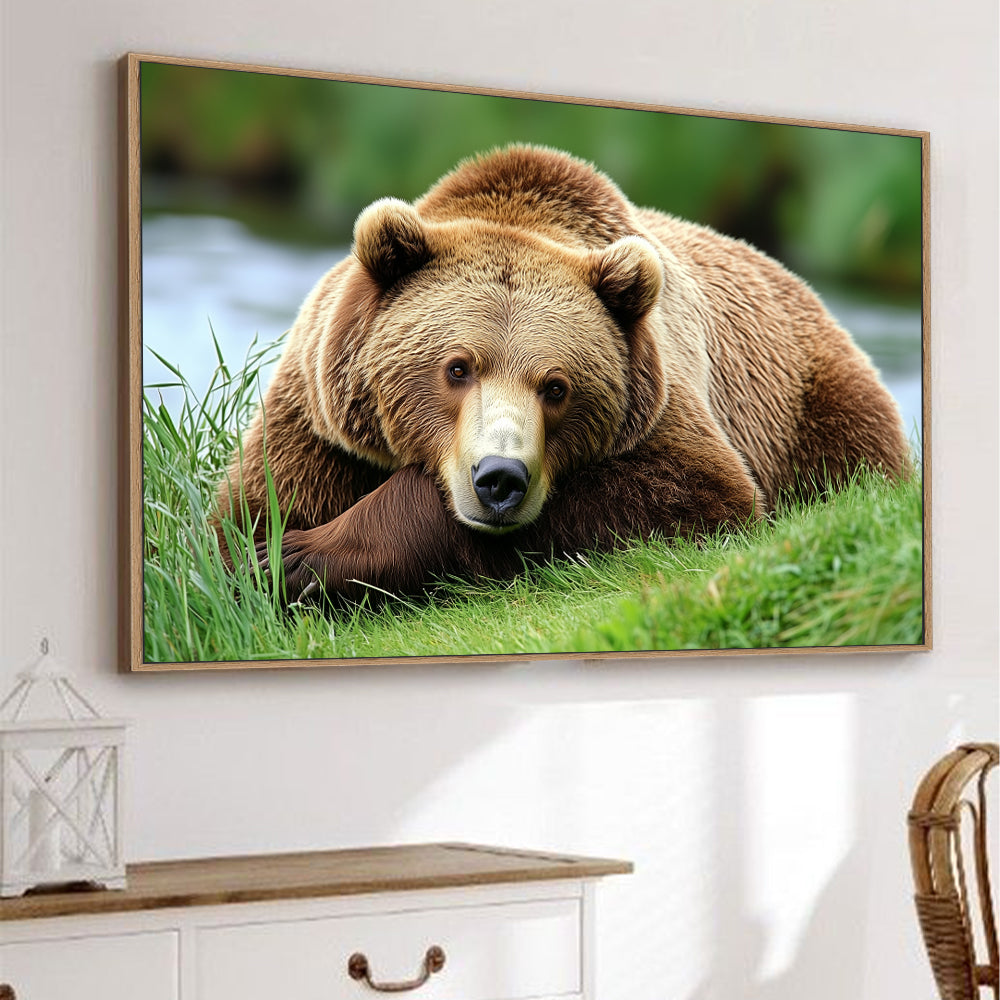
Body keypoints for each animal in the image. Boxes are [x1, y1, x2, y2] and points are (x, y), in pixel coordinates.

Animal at [217, 144, 909, 603]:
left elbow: (696, 490)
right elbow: (246, 513)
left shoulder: (659, 402)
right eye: (457, 368)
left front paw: (302, 555)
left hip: (812, 403)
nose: (500, 479)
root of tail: (809, 290)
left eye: (556, 386)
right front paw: (263, 558)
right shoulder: (319, 419)